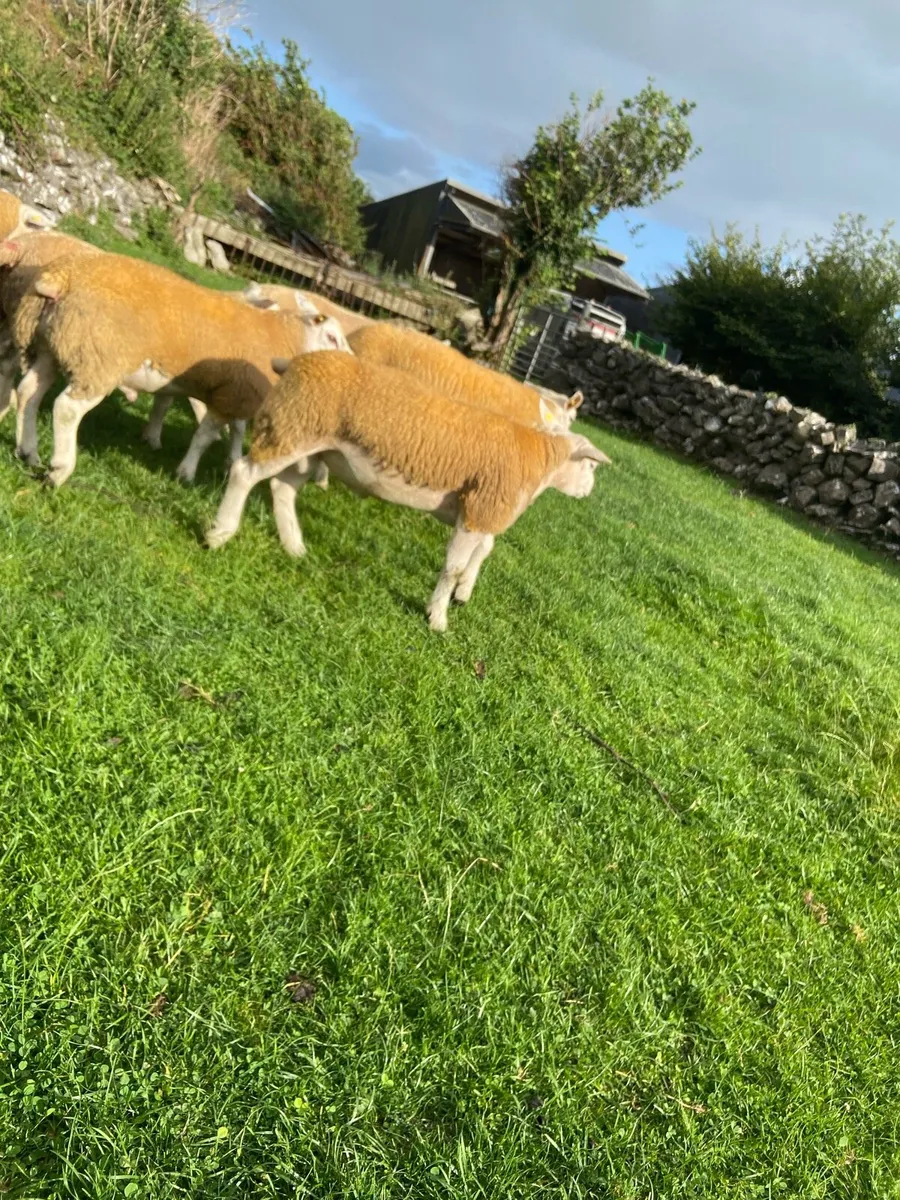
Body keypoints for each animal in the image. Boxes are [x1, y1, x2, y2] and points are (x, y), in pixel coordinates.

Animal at [21, 248, 351, 488]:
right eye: (332, 338)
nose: (349, 367)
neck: (282, 338)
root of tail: (62, 276)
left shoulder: (237, 392)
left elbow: (235, 429)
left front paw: (229, 461)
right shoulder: (232, 393)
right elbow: (204, 436)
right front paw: (186, 473)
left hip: (52, 346)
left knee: (28, 393)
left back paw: (28, 452)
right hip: (98, 357)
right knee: (67, 409)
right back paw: (58, 471)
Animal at [205, 351, 610, 632]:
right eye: (590, 466)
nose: (588, 492)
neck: (539, 461)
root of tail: (294, 362)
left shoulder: (479, 508)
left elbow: (483, 550)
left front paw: (462, 593)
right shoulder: (481, 509)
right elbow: (454, 566)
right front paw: (438, 617)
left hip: (310, 443)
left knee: (282, 487)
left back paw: (294, 547)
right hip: (293, 426)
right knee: (243, 473)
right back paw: (219, 534)